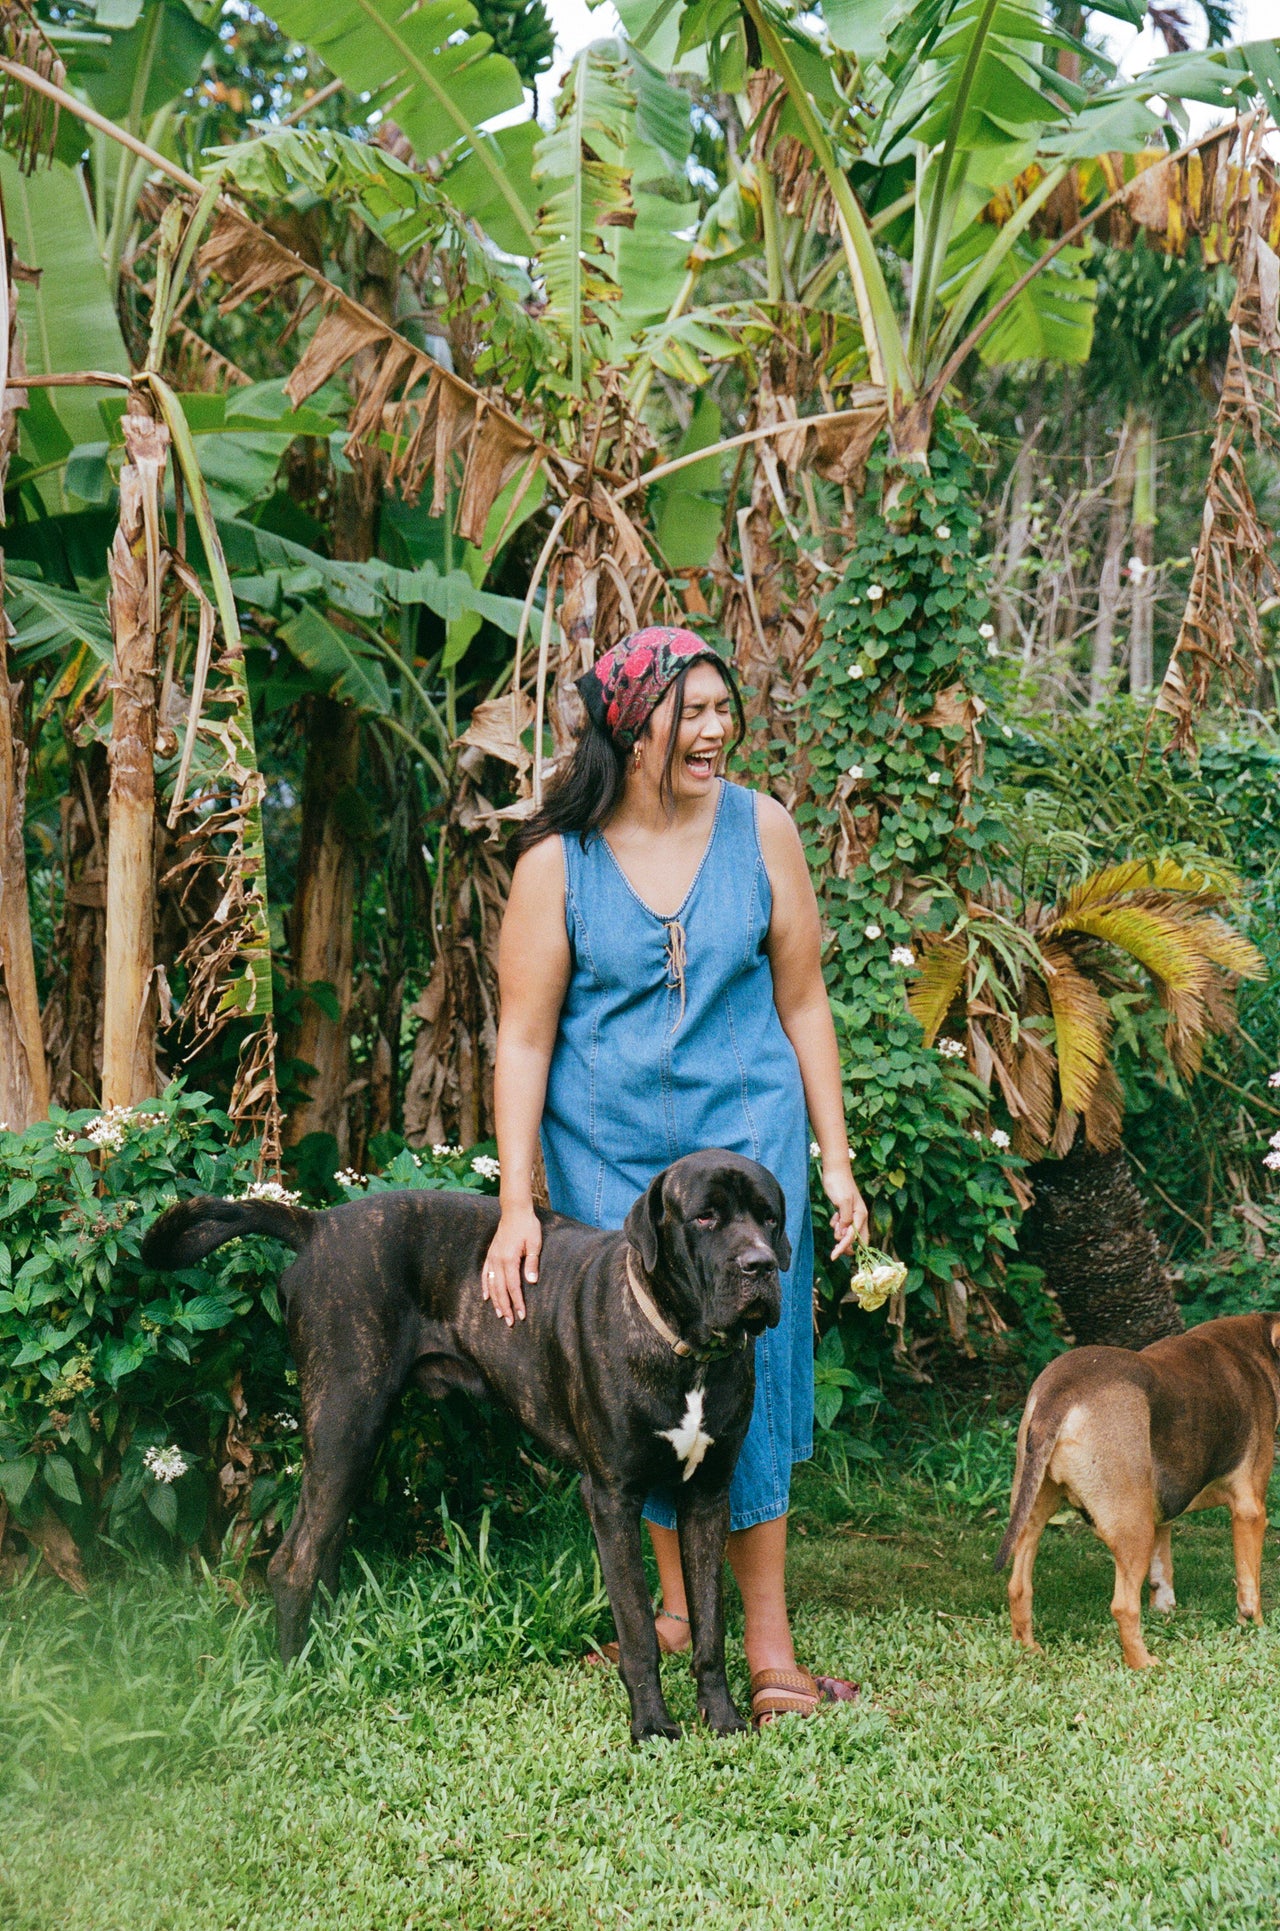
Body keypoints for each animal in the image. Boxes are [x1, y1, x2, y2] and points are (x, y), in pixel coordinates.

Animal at [139, 1143, 787, 1737]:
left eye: (770, 1217)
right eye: (704, 1217)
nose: (760, 1265)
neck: (686, 1349)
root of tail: (318, 1225)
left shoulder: (708, 1495)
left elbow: (710, 1623)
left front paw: (722, 1718)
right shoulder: (611, 1498)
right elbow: (636, 1629)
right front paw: (652, 1726)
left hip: (357, 1440)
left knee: (323, 1544)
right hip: (345, 1423)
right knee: (293, 1561)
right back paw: (295, 1677)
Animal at [1003, 1313, 1280, 1676]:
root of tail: (1061, 1391)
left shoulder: (1160, 1514)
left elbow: (1162, 1574)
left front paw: (1165, 1610)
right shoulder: (1250, 1511)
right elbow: (1250, 1587)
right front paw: (1256, 1628)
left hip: (1032, 1515)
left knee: (1018, 1587)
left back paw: (1029, 1649)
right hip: (1134, 1530)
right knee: (1123, 1606)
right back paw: (1144, 1663)